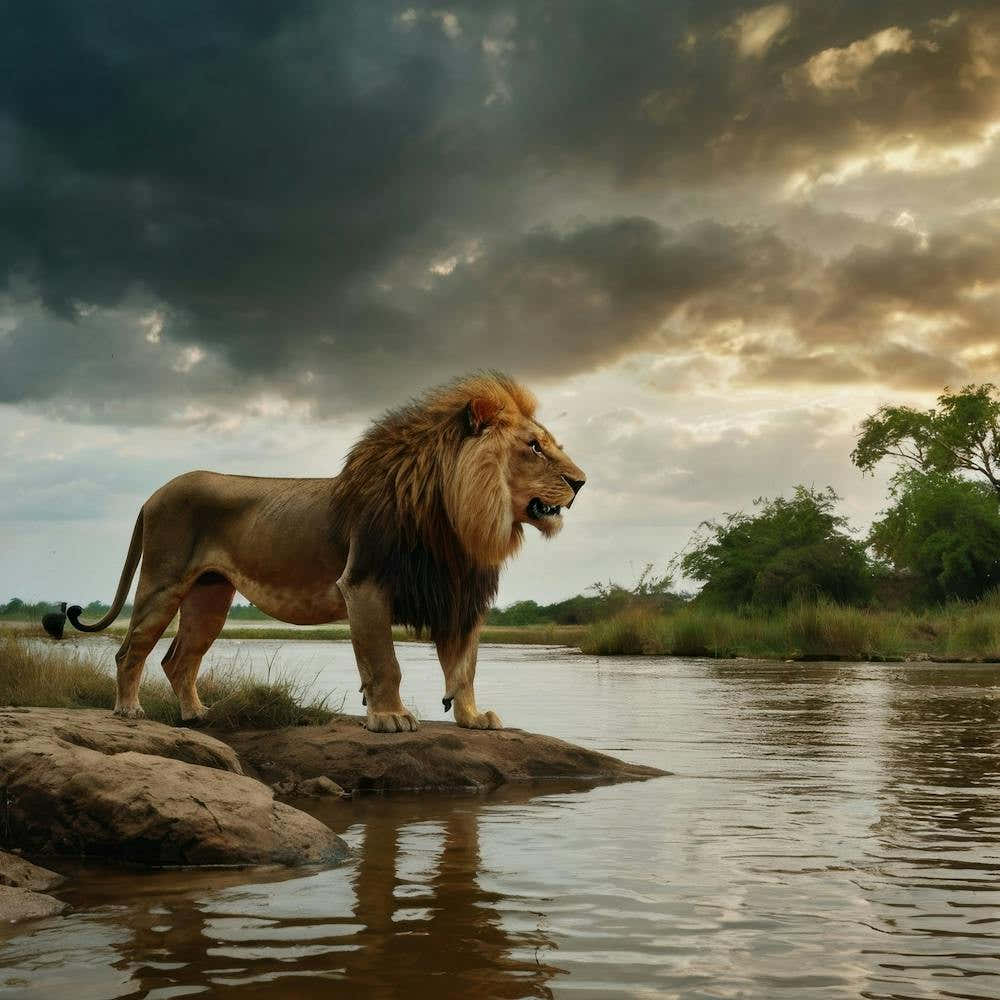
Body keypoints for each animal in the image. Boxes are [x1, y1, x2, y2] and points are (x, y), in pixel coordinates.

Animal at [67, 372, 586, 732]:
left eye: (550, 444)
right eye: (534, 447)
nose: (581, 482)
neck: (455, 517)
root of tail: (153, 494)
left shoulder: (460, 597)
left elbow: (464, 669)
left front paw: (474, 719)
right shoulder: (365, 585)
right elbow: (384, 663)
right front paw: (390, 719)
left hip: (209, 596)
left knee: (177, 659)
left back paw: (198, 715)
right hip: (163, 581)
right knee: (130, 651)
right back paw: (130, 711)